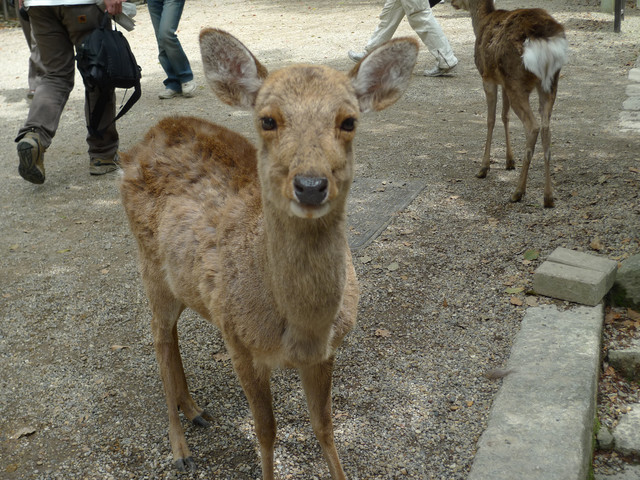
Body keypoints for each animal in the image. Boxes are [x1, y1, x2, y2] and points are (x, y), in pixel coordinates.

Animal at [120, 30, 420, 480]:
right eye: (267, 120)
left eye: (349, 121)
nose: (311, 185)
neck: (300, 329)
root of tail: (140, 142)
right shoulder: (239, 343)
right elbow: (266, 431)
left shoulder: (326, 352)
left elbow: (324, 425)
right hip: (149, 265)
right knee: (158, 337)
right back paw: (179, 447)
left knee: (170, 336)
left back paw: (196, 411)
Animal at [450, 0, 568, 207]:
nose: (451, 2)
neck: (481, 23)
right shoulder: (503, 82)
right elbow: (505, 116)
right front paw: (509, 161)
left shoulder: (487, 76)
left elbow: (490, 119)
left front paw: (483, 167)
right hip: (550, 83)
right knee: (546, 128)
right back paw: (548, 197)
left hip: (517, 80)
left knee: (533, 126)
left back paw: (518, 191)